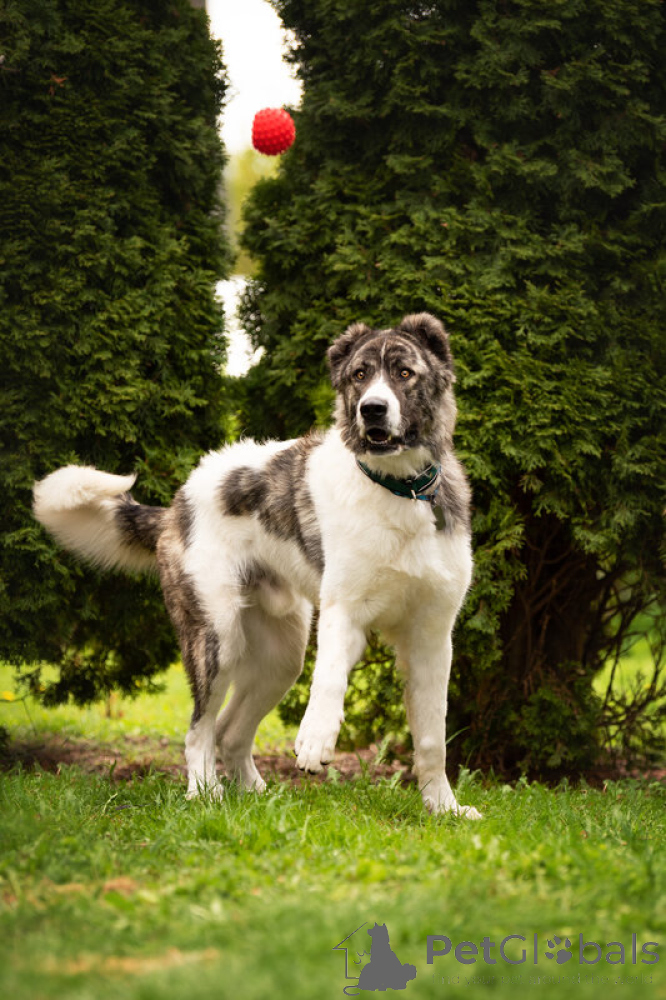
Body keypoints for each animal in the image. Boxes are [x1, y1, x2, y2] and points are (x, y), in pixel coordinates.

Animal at [33, 312, 480, 818]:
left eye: (405, 373)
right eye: (359, 376)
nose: (372, 410)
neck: (402, 491)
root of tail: (176, 506)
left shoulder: (432, 637)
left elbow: (433, 737)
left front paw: (444, 808)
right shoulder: (343, 611)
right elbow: (329, 679)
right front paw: (315, 740)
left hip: (280, 656)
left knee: (229, 730)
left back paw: (253, 793)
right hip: (216, 636)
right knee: (199, 728)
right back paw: (205, 792)